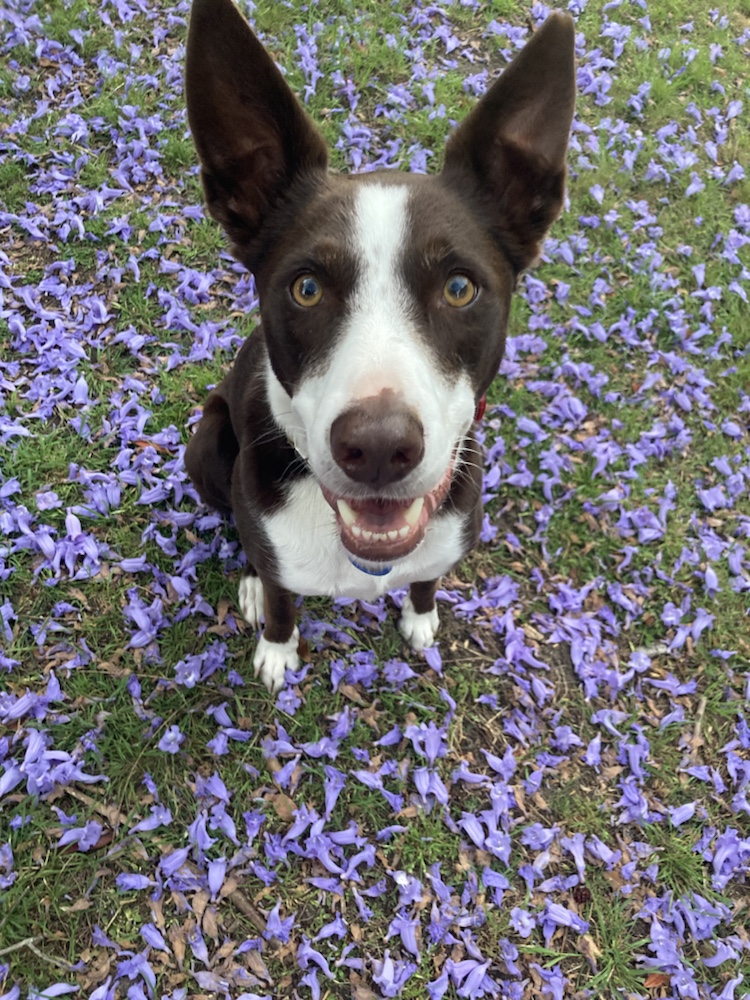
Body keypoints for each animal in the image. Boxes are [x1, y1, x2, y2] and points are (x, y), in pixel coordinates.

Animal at [183, 0, 576, 692]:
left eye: (459, 287)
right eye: (307, 288)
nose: (377, 448)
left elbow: (425, 581)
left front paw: (420, 618)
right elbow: (282, 600)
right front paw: (277, 648)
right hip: (207, 444)